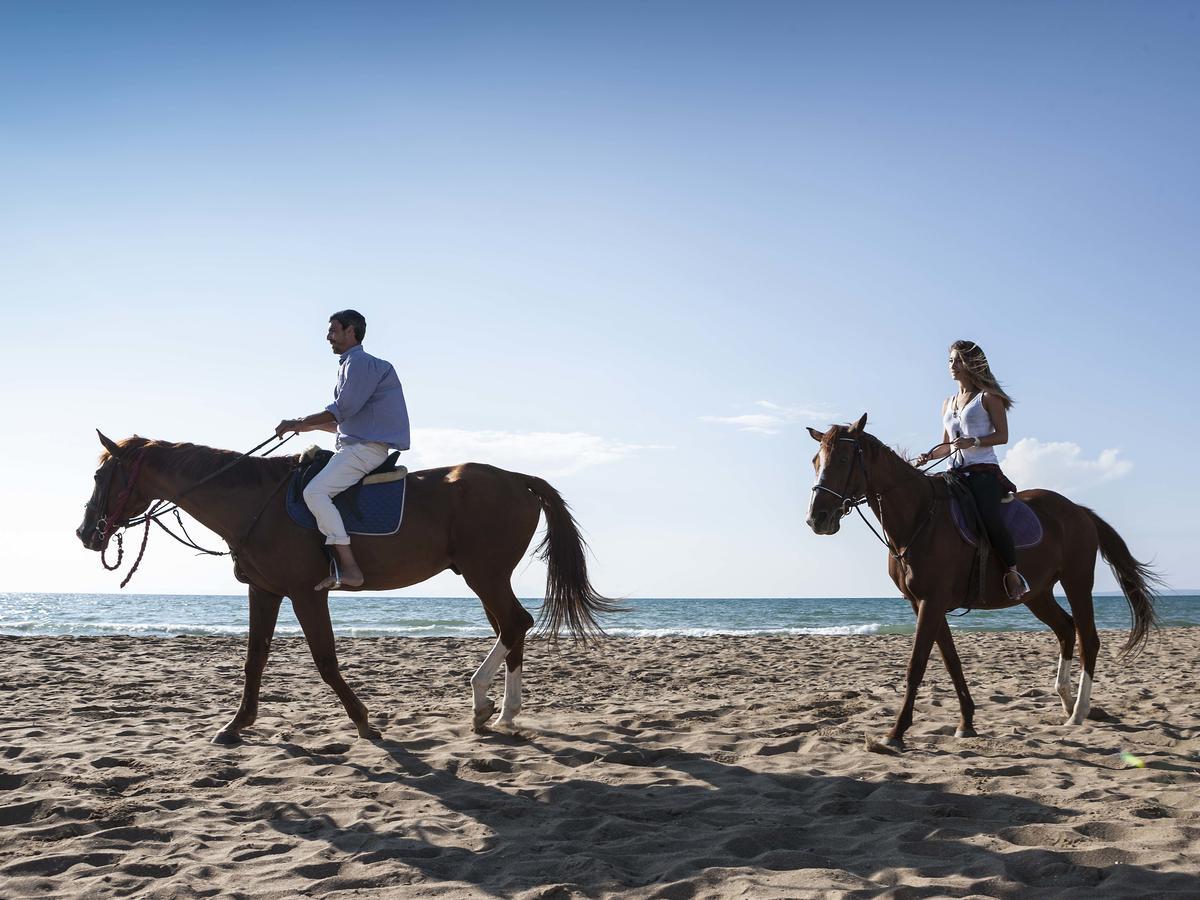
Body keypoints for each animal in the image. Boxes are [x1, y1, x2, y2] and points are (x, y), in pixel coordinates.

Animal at [76, 434, 619, 744]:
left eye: (103, 474)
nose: (86, 533)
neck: (257, 502)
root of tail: (517, 478)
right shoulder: (265, 591)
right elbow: (255, 659)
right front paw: (236, 725)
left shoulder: (306, 592)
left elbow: (324, 660)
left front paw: (363, 720)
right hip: (484, 577)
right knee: (511, 629)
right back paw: (497, 712)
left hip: (484, 574)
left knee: (514, 624)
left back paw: (491, 707)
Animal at [811, 417, 1156, 753]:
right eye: (816, 460)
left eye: (843, 459)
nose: (817, 518)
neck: (920, 517)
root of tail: (1079, 511)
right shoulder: (922, 603)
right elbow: (951, 662)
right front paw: (966, 722)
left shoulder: (932, 602)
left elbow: (917, 664)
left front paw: (896, 733)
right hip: (1037, 594)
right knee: (1065, 629)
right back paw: (1066, 701)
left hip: (1077, 581)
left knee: (1088, 639)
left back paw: (1079, 712)